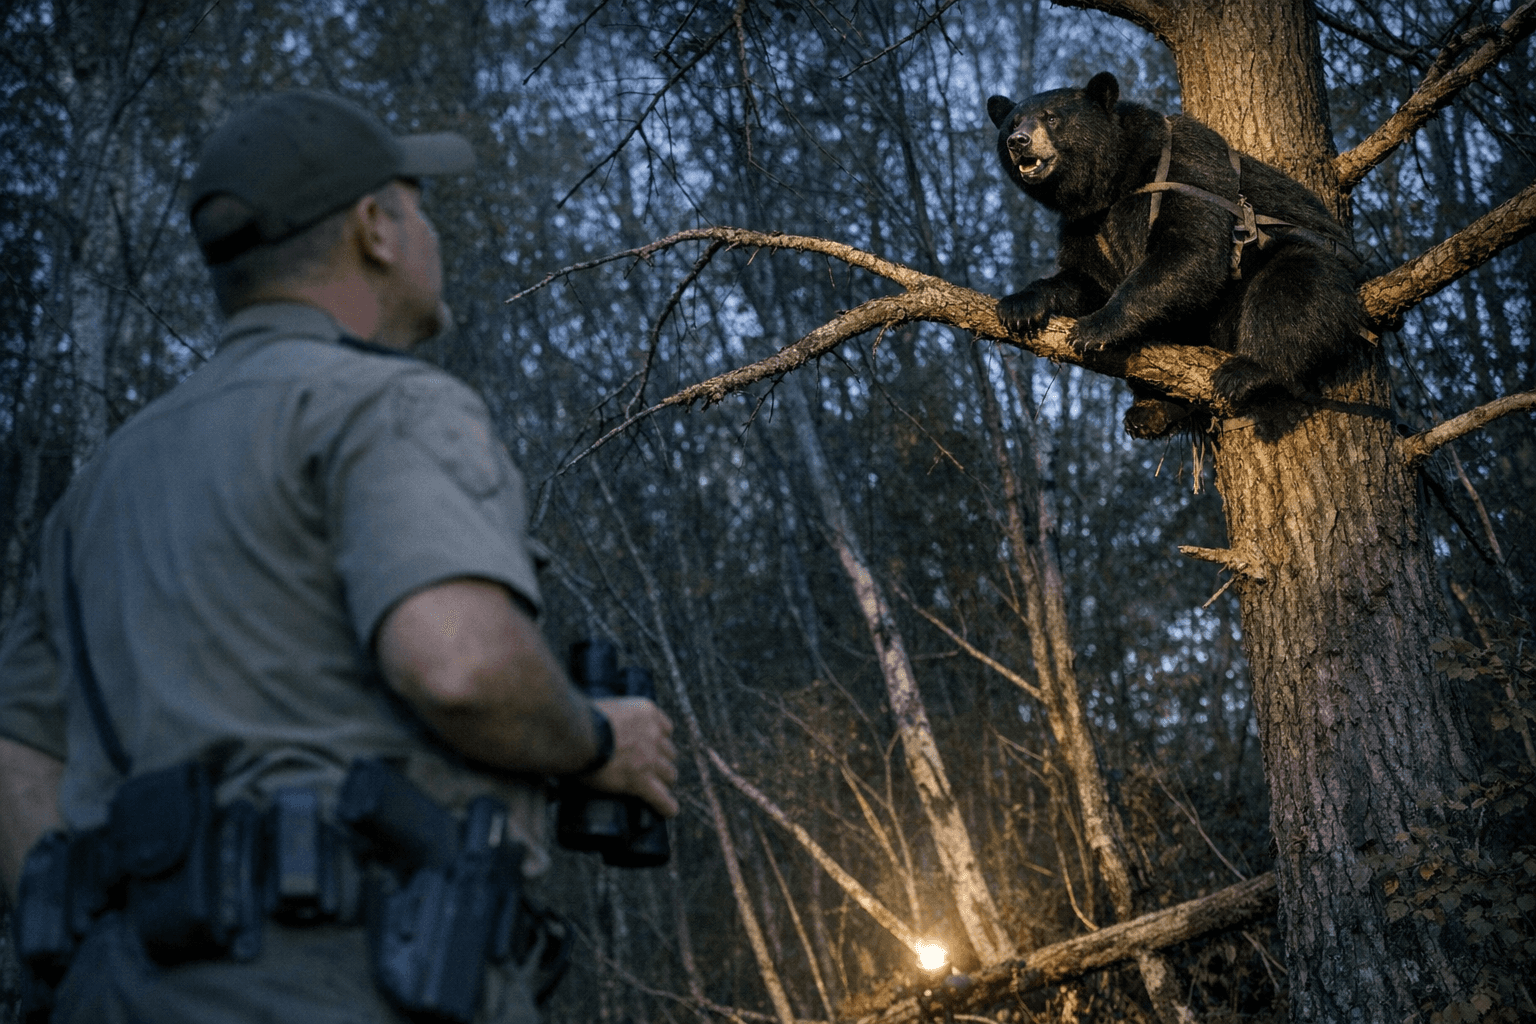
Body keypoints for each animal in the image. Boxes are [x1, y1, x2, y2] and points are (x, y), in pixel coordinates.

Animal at [986, 72, 1368, 437]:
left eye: (1051, 118)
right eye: (1013, 121)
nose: (1018, 141)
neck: (1114, 182)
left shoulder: (1183, 171)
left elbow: (1189, 250)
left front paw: (1094, 328)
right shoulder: (1084, 224)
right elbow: (1084, 279)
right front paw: (1019, 306)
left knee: (1295, 283)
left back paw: (1247, 370)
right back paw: (1153, 409)